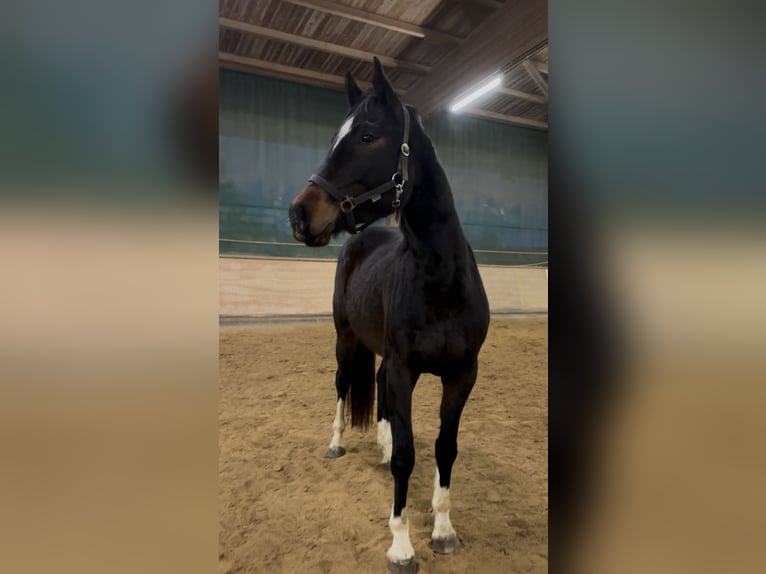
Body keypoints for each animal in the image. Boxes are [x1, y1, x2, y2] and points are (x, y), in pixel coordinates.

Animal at [288, 57, 490, 573]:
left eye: (366, 136)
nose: (299, 214)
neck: (440, 279)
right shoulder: (404, 369)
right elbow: (406, 455)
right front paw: (401, 544)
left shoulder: (462, 374)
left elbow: (444, 449)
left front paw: (443, 530)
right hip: (345, 340)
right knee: (343, 385)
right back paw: (338, 443)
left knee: (376, 387)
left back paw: (378, 443)